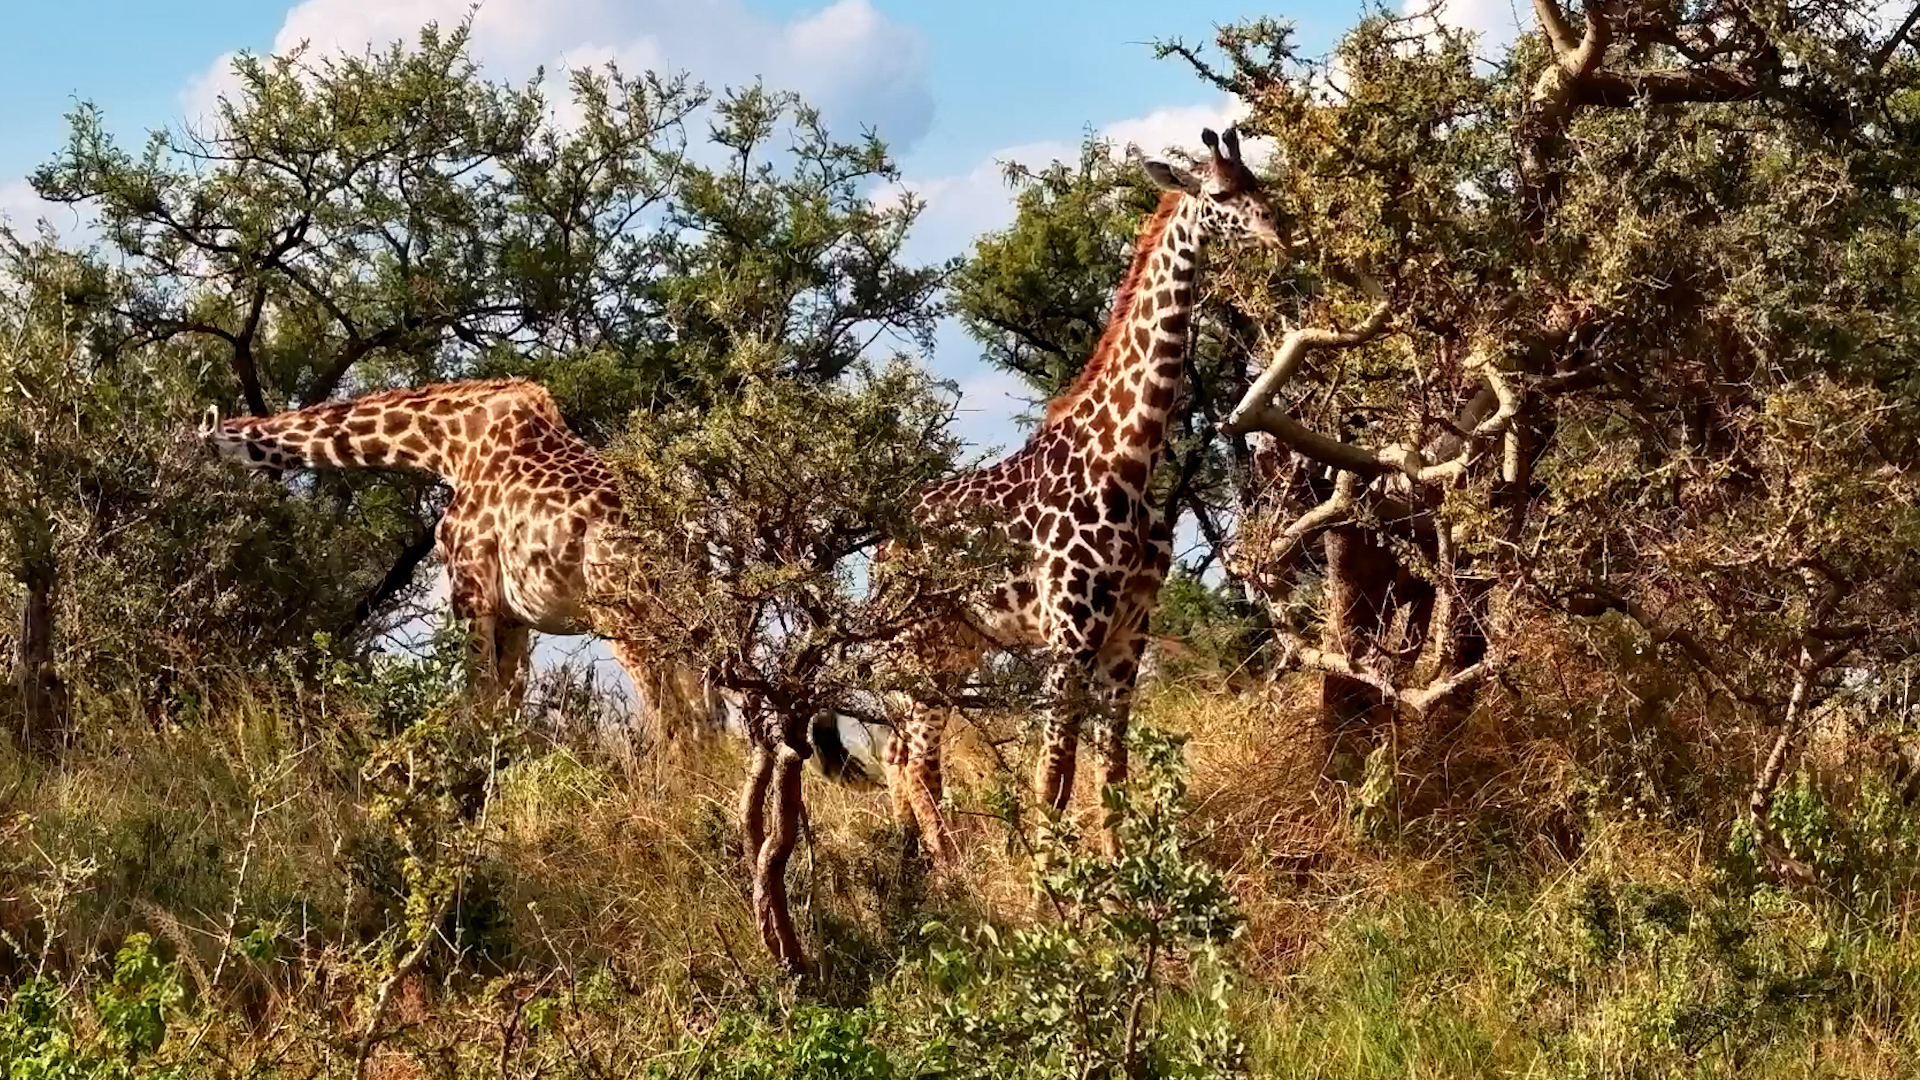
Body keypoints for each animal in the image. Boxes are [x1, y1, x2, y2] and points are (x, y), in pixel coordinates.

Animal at [197, 378, 718, 732]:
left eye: (204, 447)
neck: (447, 445)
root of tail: (686, 534)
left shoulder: (469, 592)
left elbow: (477, 702)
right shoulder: (515, 614)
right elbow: (505, 707)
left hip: (627, 618)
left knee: (673, 718)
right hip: (692, 621)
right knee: (708, 713)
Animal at [883, 126, 1287, 860]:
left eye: (1257, 182)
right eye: (1220, 195)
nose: (1279, 229)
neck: (1129, 456)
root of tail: (878, 556)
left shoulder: (1130, 631)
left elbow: (1113, 769)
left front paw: (1122, 870)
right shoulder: (1070, 632)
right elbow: (1055, 771)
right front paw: (1051, 885)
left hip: (955, 648)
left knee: (903, 755)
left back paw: (920, 867)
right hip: (919, 650)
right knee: (917, 759)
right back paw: (948, 873)